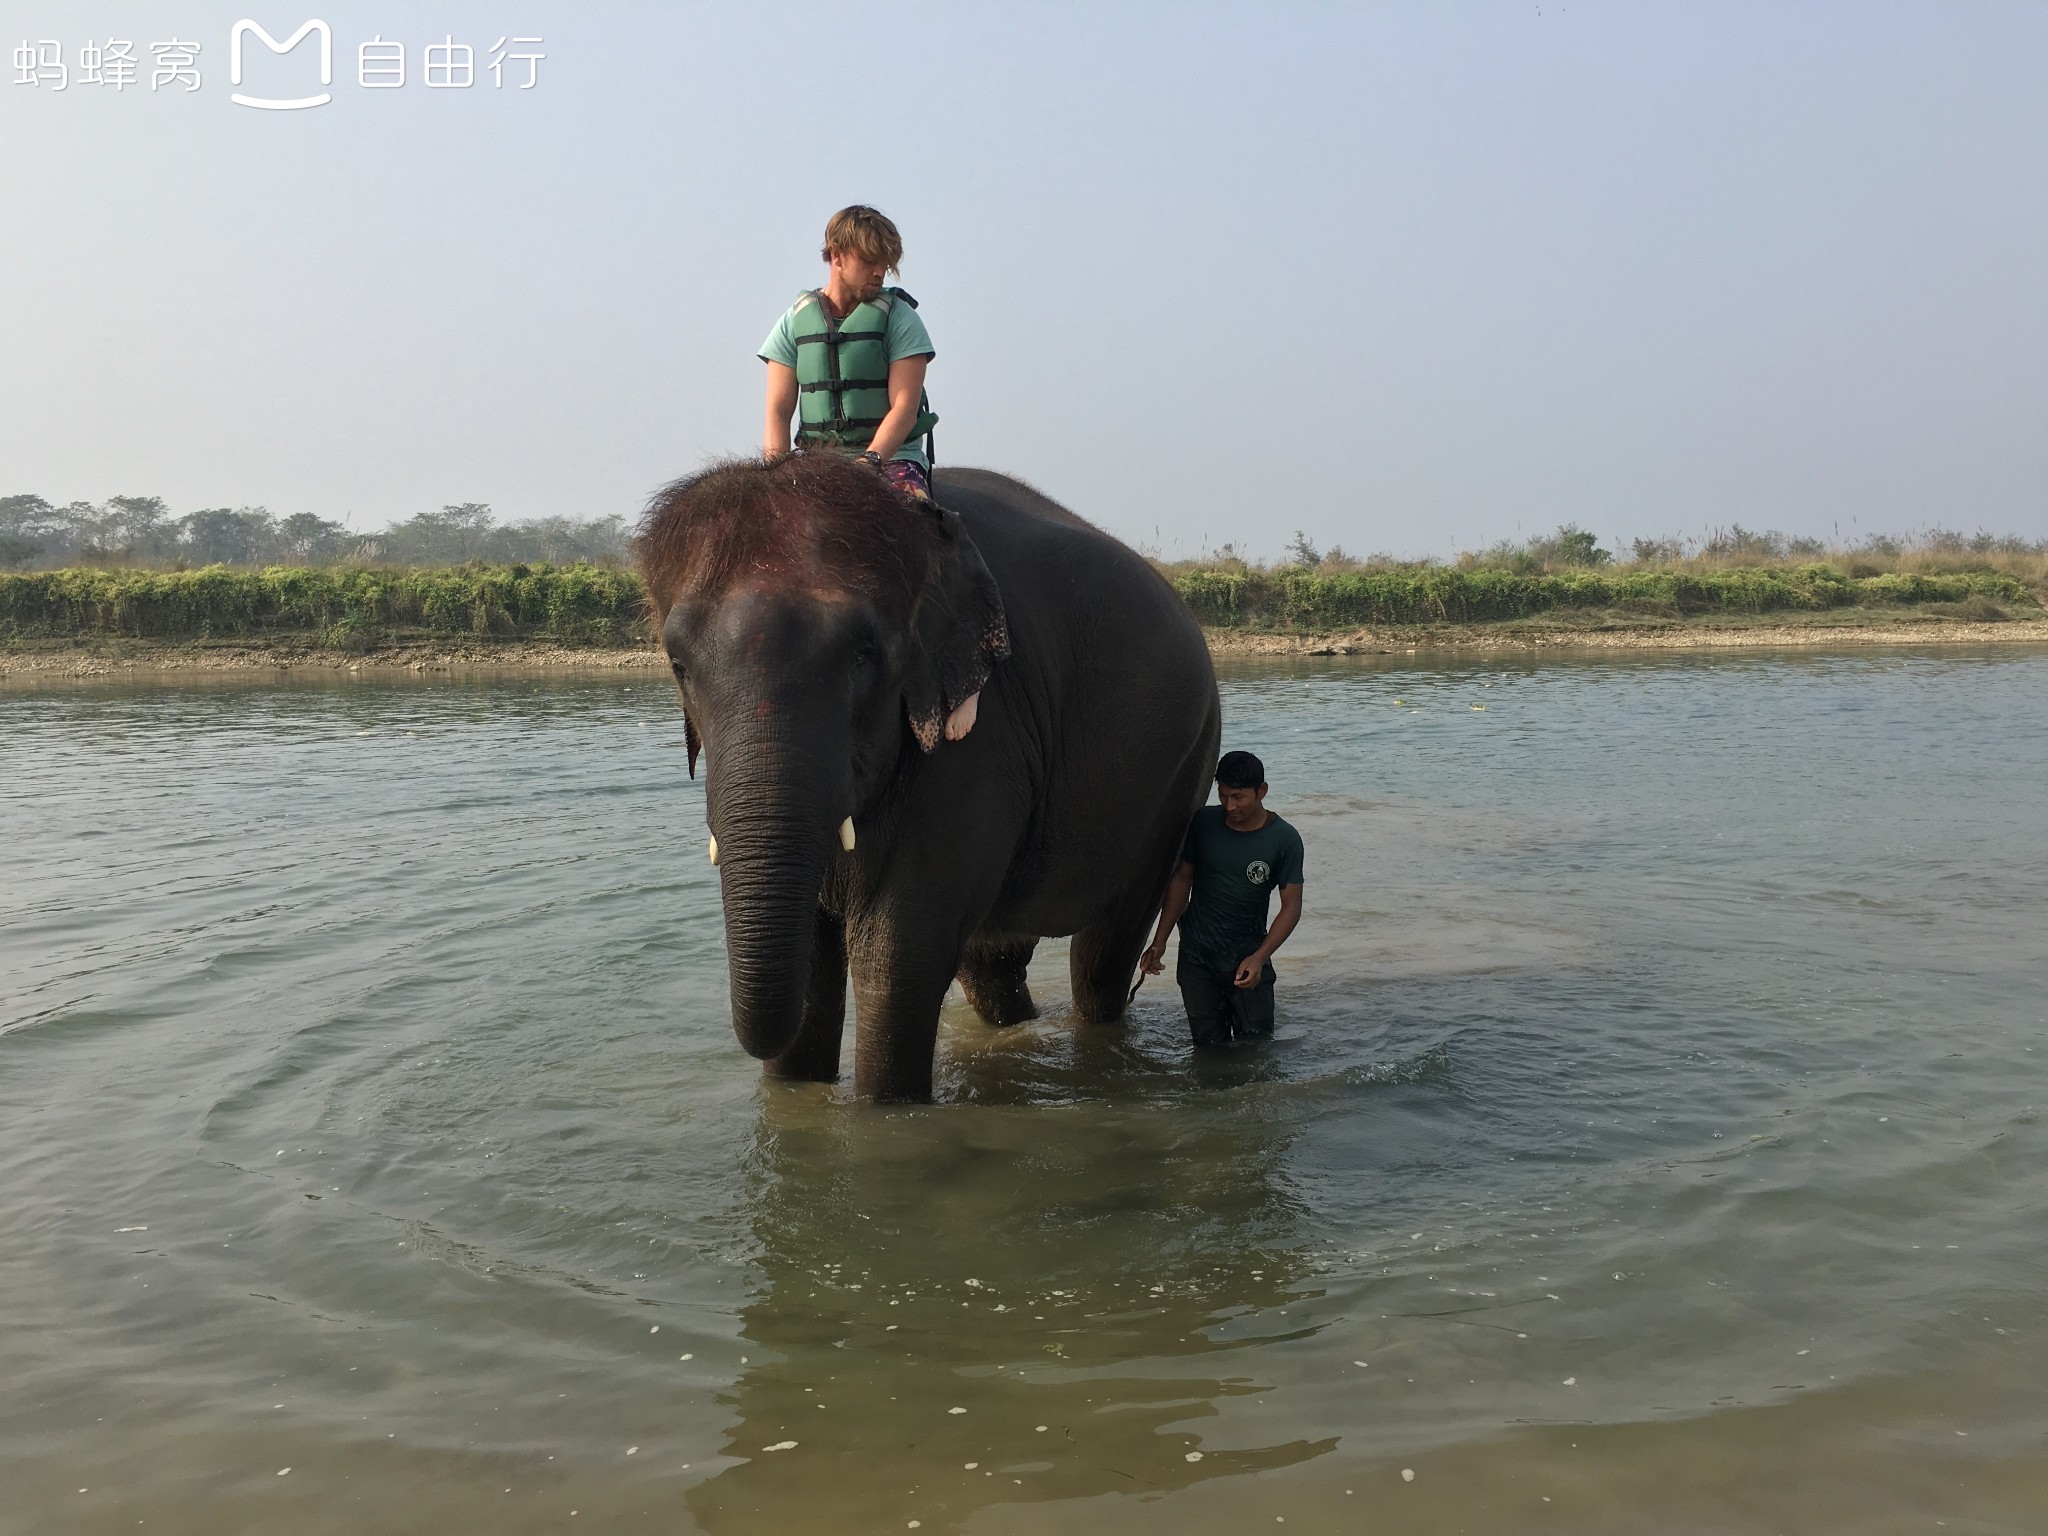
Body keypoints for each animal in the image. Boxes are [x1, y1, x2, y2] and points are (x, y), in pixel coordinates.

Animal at [634, 456, 1212, 1105]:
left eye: (863, 656)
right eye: (679, 666)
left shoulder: (980, 734)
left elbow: (899, 955)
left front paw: (882, 1115)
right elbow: (815, 956)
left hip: (1183, 772)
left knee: (1104, 957)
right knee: (994, 967)